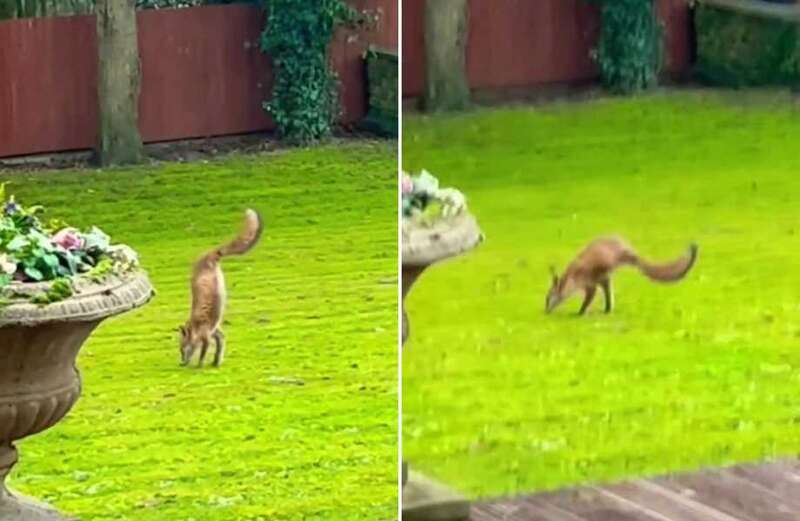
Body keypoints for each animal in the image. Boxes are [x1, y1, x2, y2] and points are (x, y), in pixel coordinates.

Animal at [178, 208, 262, 366]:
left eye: (182, 349)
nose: (181, 363)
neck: (197, 326)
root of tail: (209, 253)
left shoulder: (206, 336)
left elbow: (203, 353)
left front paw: (199, 365)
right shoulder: (214, 331)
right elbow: (221, 342)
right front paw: (216, 362)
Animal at [548, 237, 696, 316]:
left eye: (549, 298)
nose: (546, 311)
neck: (571, 280)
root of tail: (626, 248)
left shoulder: (590, 284)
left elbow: (588, 299)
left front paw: (580, 313)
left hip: (603, 273)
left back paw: (606, 310)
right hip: (605, 277)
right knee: (608, 294)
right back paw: (607, 310)